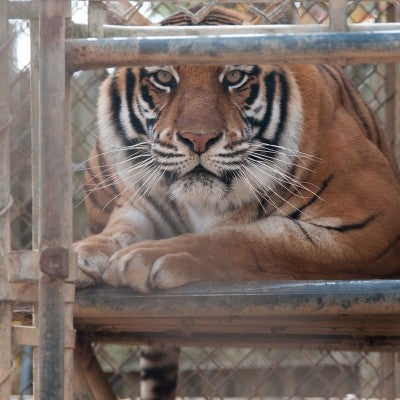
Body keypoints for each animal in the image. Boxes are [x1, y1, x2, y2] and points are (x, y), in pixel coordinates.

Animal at [73, 4, 400, 398]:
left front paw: (150, 255)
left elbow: (246, 239)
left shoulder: (376, 220)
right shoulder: (141, 200)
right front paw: (80, 253)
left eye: (235, 77)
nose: (198, 139)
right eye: (164, 77)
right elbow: (118, 229)